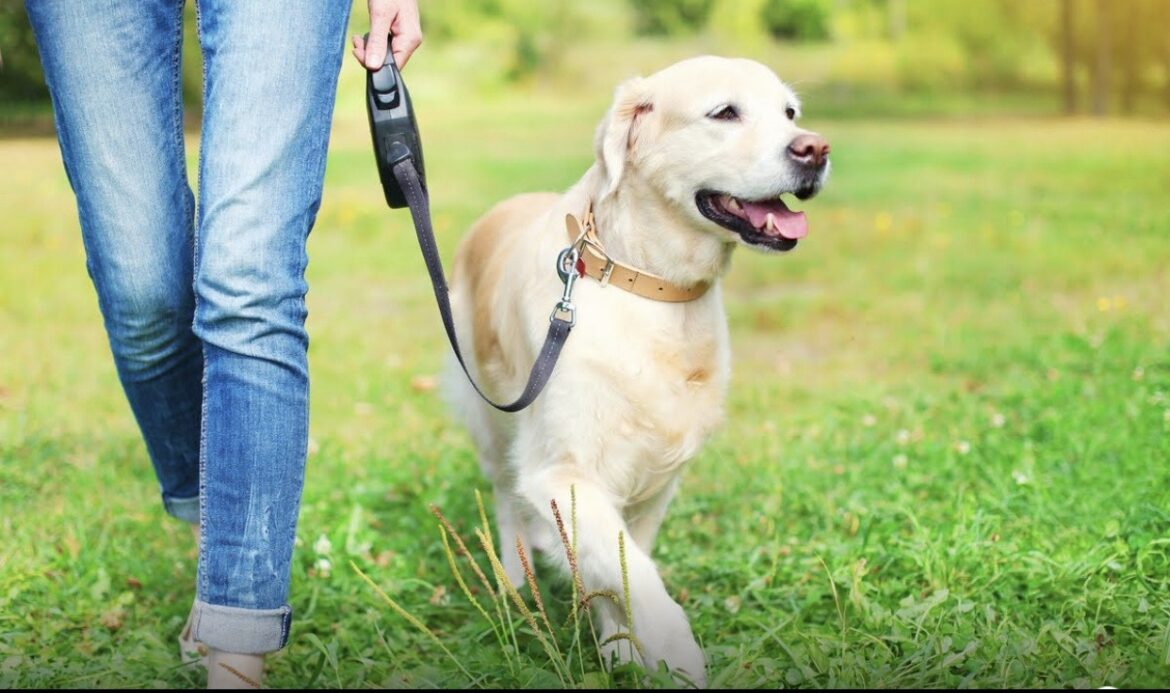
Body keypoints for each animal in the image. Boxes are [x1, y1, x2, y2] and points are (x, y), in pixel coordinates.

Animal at [442, 56, 828, 683]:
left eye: (790, 113)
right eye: (725, 112)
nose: (815, 149)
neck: (649, 284)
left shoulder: (656, 478)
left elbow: (621, 564)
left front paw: (621, 645)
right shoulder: (560, 471)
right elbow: (637, 575)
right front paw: (677, 656)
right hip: (491, 420)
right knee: (504, 499)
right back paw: (516, 581)